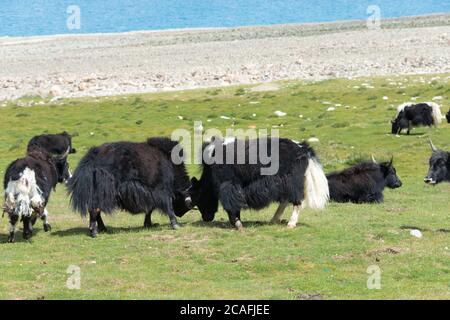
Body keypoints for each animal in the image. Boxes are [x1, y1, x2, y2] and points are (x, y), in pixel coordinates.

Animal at [188, 138, 328, 230]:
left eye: (198, 197)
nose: (206, 218)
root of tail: (302, 148)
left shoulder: (227, 185)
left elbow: (231, 204)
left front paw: (237, 224)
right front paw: (237, 222)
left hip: (291, 182)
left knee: (296, 201)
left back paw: (290, 224)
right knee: (285, 201)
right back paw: (273, 220)